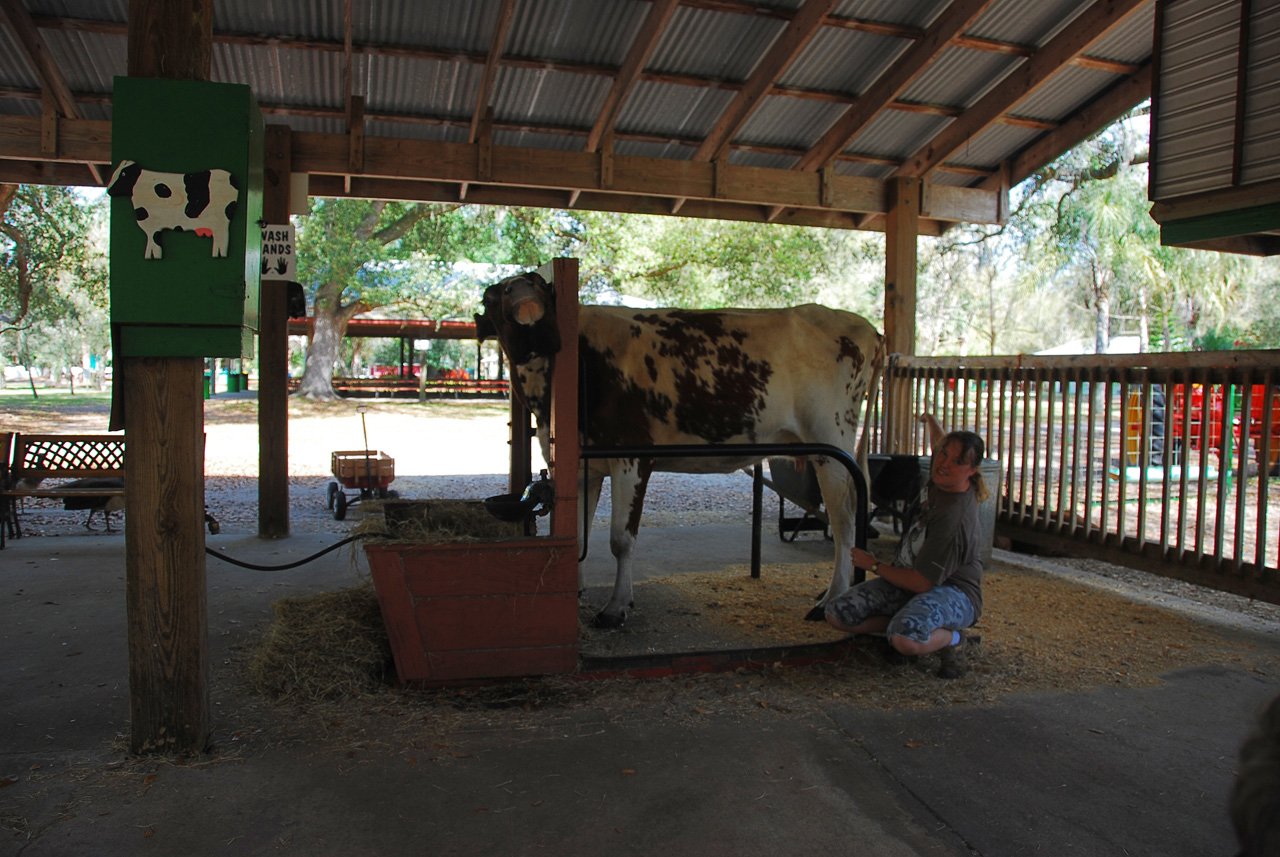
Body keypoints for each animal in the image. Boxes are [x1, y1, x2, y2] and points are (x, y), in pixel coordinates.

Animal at [476, 275, 885, 631]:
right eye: (493, 295)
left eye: (539, 283)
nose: (523, 295)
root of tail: (864, 327)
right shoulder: (583, 468)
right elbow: (578, 534)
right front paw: (574, 592)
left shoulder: (632, 457)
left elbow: (620, 540)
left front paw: (615, 608)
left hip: (832, 445)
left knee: (845, 520)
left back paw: (829, 599)